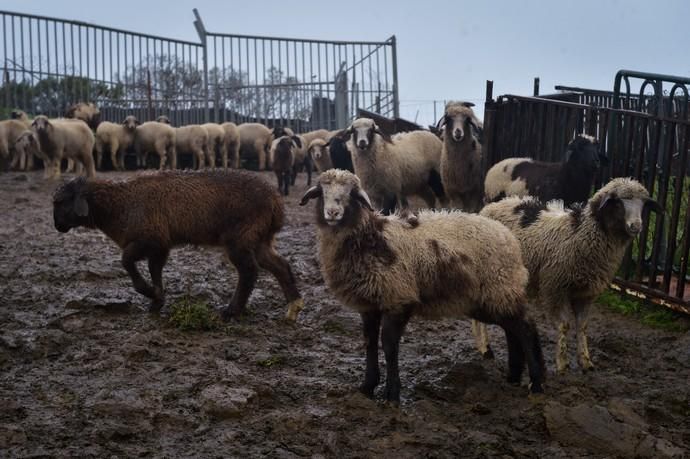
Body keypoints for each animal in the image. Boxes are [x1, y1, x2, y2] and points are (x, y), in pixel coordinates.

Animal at [51, 170, 304, 324]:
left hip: (240, 237)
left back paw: (231, 311)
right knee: (280, 266)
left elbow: (126, 261)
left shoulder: (149, 238)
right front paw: (157, 301)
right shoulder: (161, 245)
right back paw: (293, 308)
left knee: (249, 271)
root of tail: (276, 202)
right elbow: (155, 269)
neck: (117, 205)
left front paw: (149, 293)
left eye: (61, 201)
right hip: (259, 238)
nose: (57, 226)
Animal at [298, 170, 544, 402]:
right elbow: (369, 342)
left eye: (350, 194)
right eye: (322, 192)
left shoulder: (398, 299)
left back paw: (537, 384)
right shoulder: (369, 305)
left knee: (525, 328)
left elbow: (389, 346)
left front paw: (392, 395)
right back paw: (513, 378)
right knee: (512, 329)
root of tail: (509, 238)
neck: (369, 237)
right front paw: (367, 388)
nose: (332, 213)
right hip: (489, 300)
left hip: (500, 288)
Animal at [478, 177, 660, 374]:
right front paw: (562, 363)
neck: (580, 233)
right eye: (618, 202)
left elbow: (582, 326)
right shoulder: (555, 287)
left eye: (643, 204)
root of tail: (491, 207)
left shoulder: (586, 293)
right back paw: (485, 349)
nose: (636, 226)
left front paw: (586, 361)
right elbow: (565, 325)